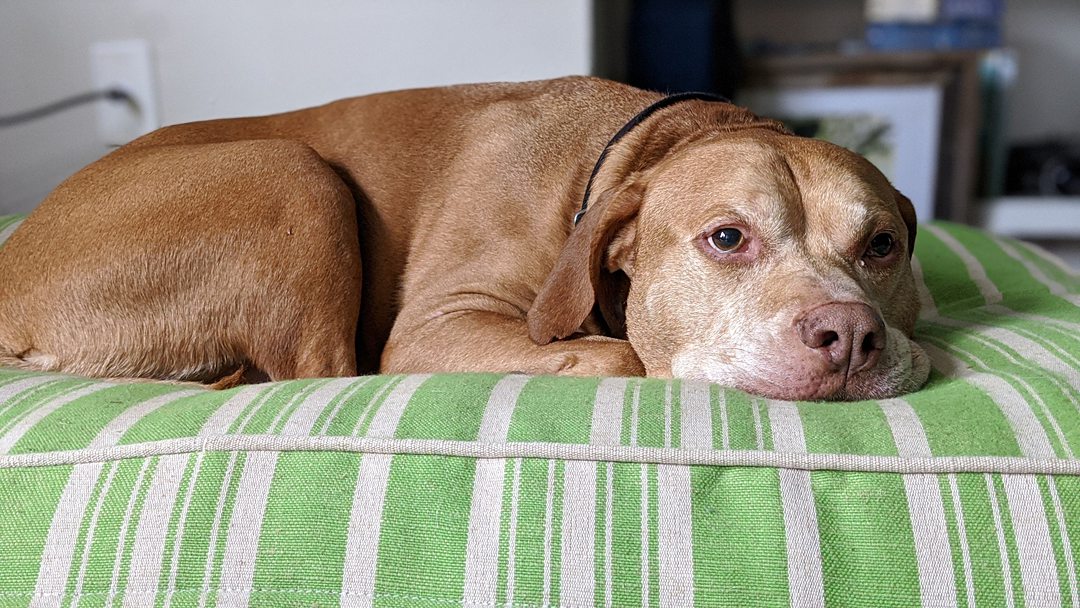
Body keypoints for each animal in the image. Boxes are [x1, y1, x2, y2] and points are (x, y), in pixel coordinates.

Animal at [0, 76, 928, 399]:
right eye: (728, 238)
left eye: (882, 246)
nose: (849, 336)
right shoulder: (436, 327)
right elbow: (619, 354)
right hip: (293, 172)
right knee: (322, 371)